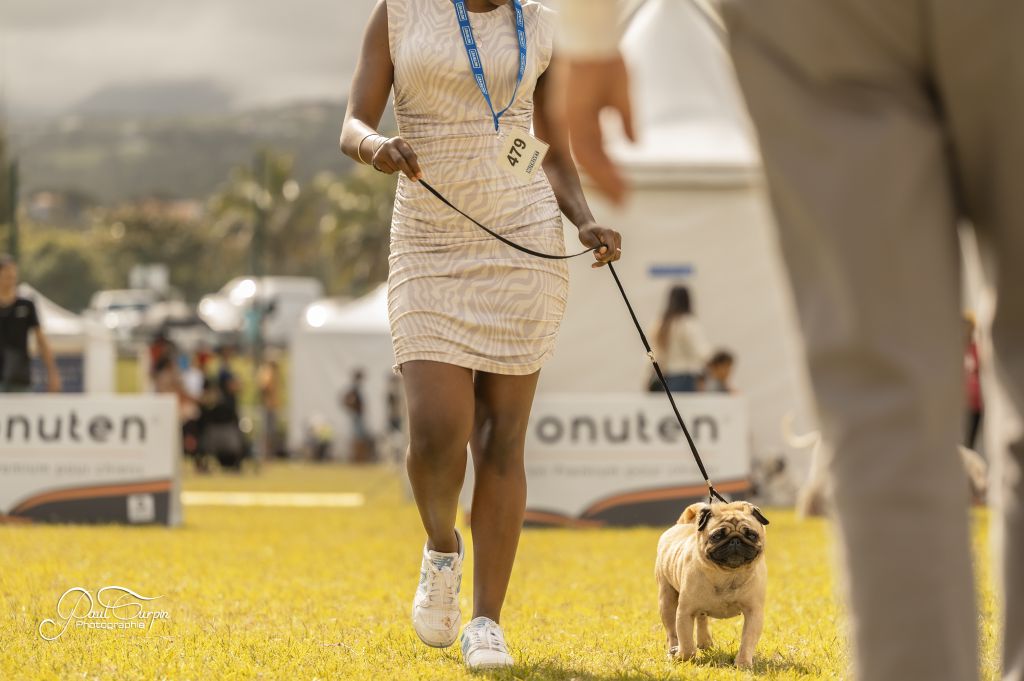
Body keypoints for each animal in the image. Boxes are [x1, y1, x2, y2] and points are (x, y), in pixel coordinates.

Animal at [655, 501, 769, 668]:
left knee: (702, 618)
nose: (735, 540)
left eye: (752, 535)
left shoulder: (753, 612)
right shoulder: (685, 612)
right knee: (672, 632)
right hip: (667, 600)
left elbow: (747, 641)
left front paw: (743, 663)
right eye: (717, 536)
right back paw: (674, 650)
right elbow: (687, 644)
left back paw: (705, 643)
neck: (727, 574)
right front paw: (683, 657)